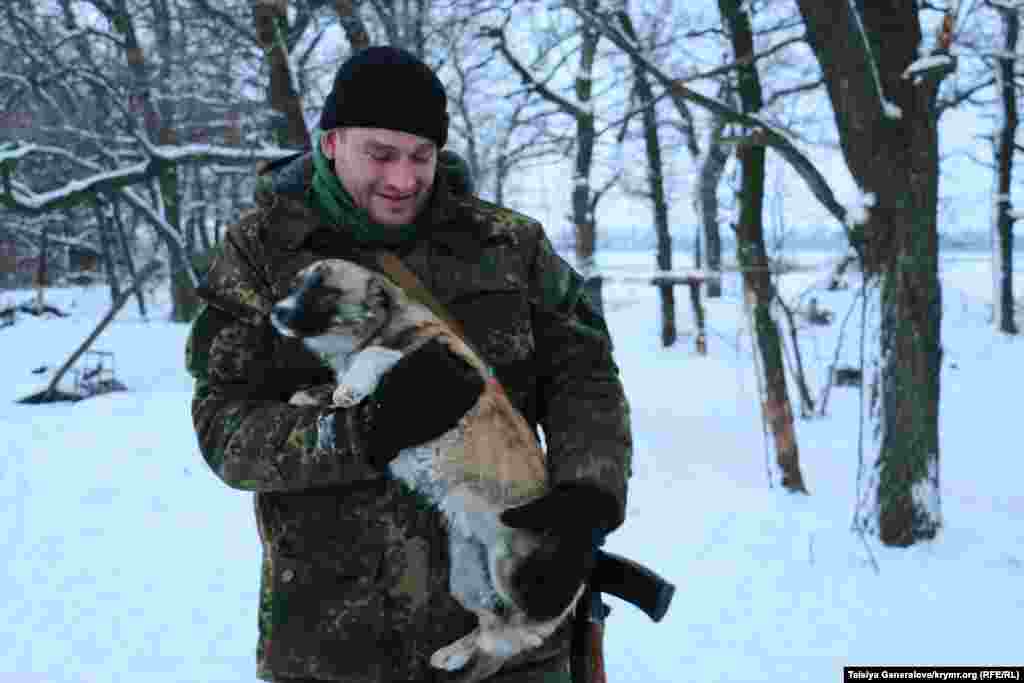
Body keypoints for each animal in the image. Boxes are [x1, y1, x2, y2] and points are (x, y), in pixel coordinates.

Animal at [268, 258, 581, 683]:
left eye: (327, 291)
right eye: (296, 285)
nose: (276, 312)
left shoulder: (435, 357)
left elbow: (375, 356)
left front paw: (347, 387)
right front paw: (312, 394)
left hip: (511, 569)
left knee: (518, 632)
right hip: (467, 576)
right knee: (491, 624)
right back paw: (453, 652)